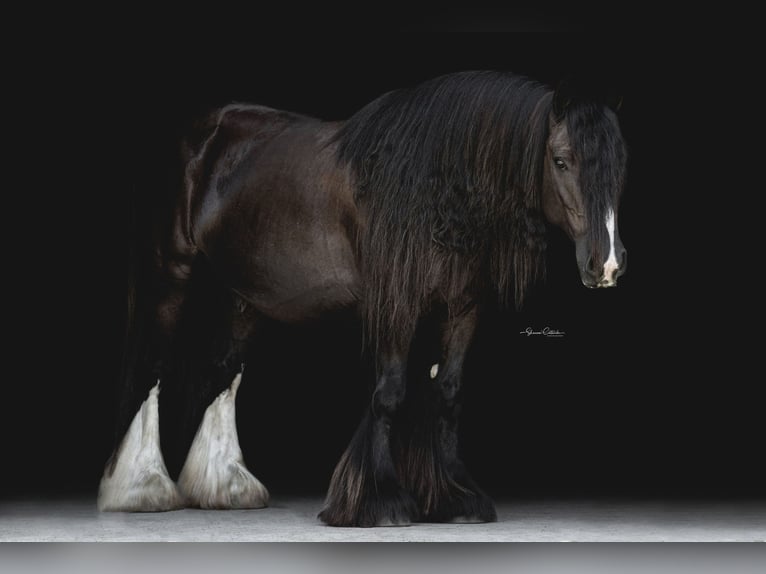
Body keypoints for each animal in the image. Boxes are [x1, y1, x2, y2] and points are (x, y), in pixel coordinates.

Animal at [96, 70, 628, 528]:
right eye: (561, 159)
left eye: (621, 164)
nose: (606, 264)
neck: (434, 185)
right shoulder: (396, 302)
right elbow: (389, 394)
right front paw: (378, 501)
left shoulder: (462, 308)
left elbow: (448, 394)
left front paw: (455, 498)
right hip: (170, 268)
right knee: (155, 367)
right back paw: (142, 488)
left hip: (242, 293)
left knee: (221, 371)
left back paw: (227, 487)